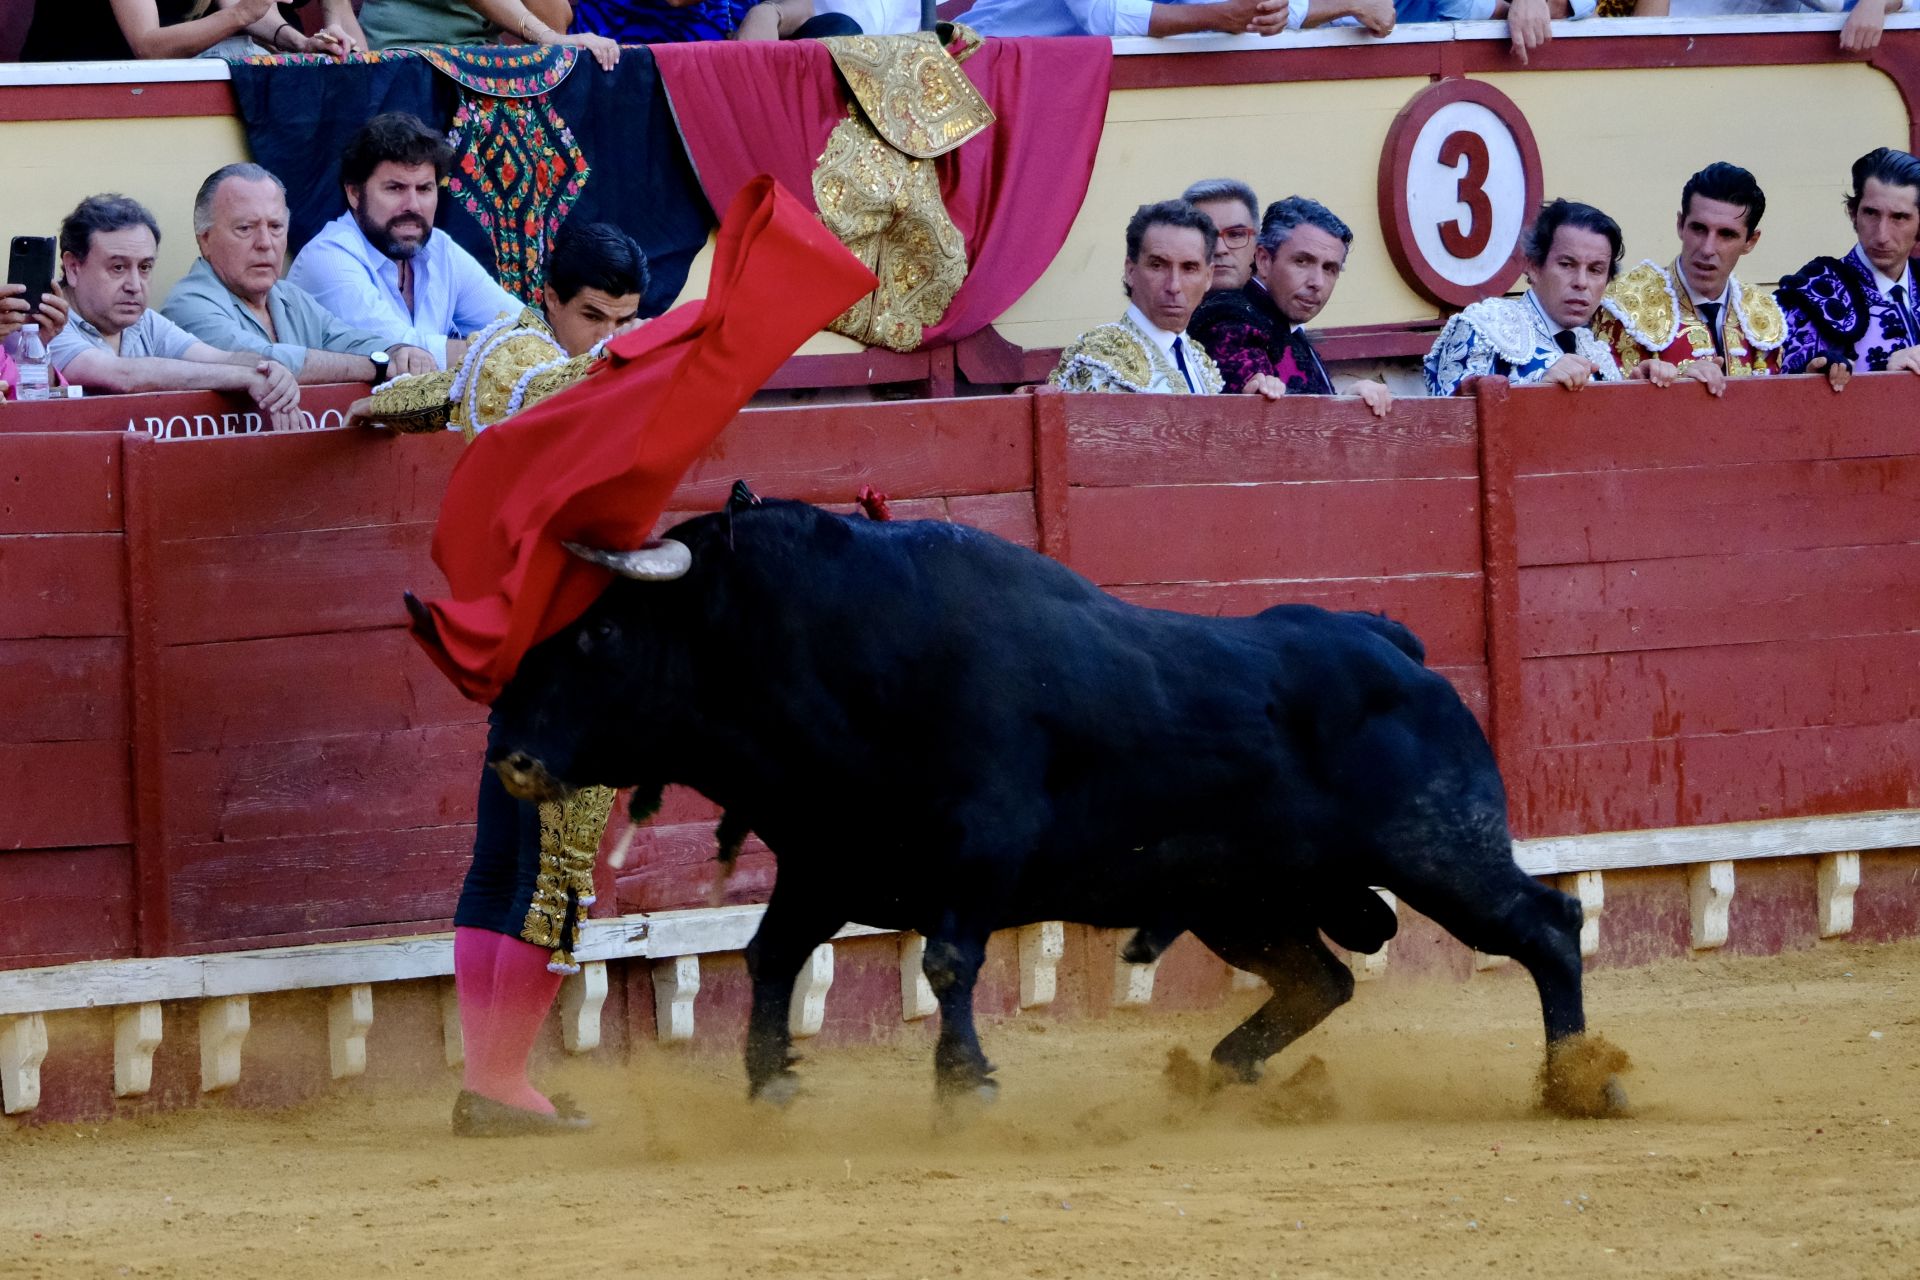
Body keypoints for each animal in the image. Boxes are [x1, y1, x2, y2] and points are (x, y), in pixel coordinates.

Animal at [456, 495, 1628, 1113]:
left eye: (603, 632)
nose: (508, 753)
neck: (838, 652)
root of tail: (1395, 643)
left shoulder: (977, 853)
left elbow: (945, 961)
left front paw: (962, 1084)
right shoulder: (826, 864)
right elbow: (771, 954)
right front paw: (770, 1085)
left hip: (1442, 849)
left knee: (1545, 924)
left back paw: (1578, 1081)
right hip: (1242, 899)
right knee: (1322, 975)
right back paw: (1219, 1075)